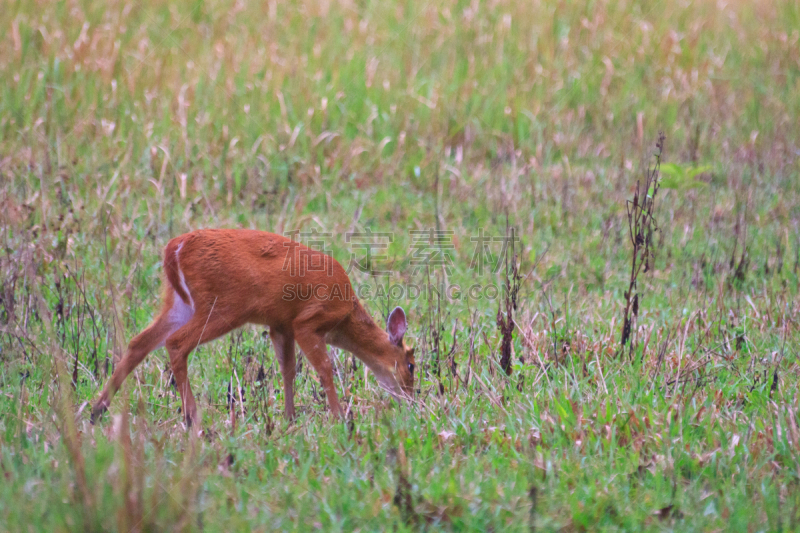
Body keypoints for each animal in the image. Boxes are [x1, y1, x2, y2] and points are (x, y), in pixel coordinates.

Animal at [92, 228, 418, 424]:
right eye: (412, 365)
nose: (411, 399)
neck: (346, 314)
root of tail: (175, 248)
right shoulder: (307, 321)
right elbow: (324, 368)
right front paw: (339, 416)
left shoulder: (280, 325)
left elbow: (288, 369)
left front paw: (289, 417)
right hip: (222, 305)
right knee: (176, 343)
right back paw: (192, 417)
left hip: (180, 303)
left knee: (140, 341)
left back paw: (98, 409)